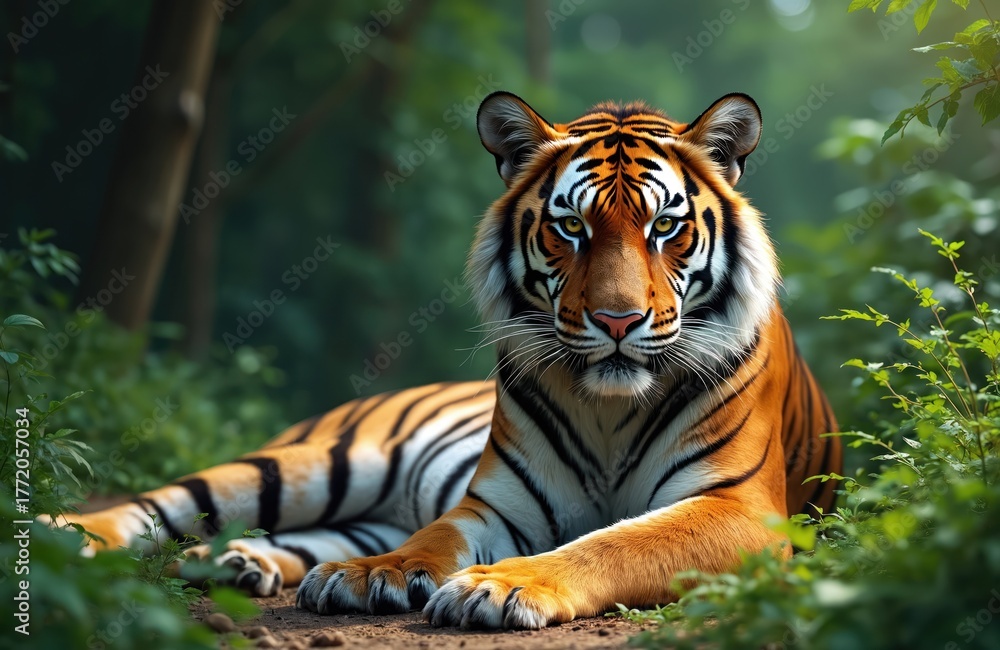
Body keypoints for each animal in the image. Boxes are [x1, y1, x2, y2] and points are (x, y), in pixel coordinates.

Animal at [53, 90, 841, 630]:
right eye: (571, 227)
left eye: (665, 227)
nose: (617, 321)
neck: (609, 408)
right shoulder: (497, 501)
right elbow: (433, 536)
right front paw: (374, 576)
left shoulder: (738, 509)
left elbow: (614, 543)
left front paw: (505, 586)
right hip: (322, 461)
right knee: (159, 503)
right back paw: (68, 536)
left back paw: (238, 565)